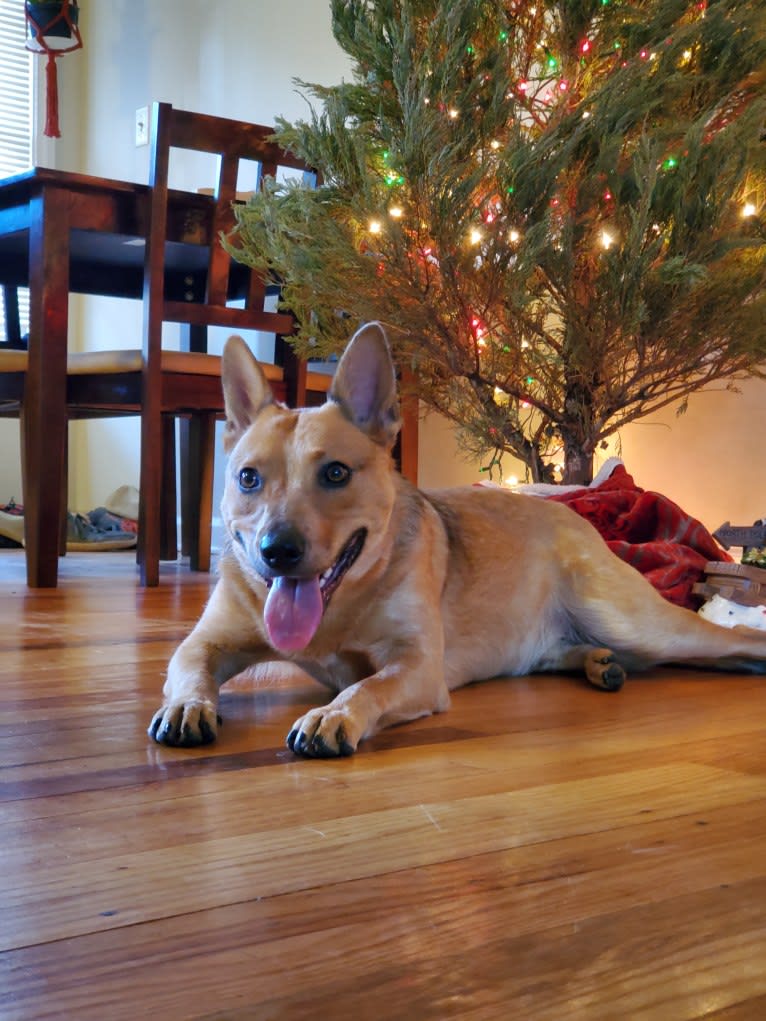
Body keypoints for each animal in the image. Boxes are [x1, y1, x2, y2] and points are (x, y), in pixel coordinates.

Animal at [148, 322, 766, 755]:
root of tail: (572, 516)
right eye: (248, 478)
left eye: (336, 473)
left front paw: (335, 713)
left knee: (727, 640)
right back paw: (598, 662)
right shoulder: (207, 640)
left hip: (634, 621)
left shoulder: (417, 666)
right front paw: (187, 705)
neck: (340, 606)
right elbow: (187, 668)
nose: (277, 552)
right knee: (572, 652)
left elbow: (367, 687)